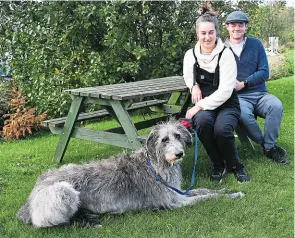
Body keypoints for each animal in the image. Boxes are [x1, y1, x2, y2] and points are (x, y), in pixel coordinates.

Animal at [16, 120, 245, 228]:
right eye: (164, 140)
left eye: (178, 136)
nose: (179, 154)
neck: (156, 164)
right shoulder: (175, 202)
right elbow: (208, 197)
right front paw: (231, 195)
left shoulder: (178, 192)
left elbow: (204, 190)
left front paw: (228, 189)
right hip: (63, 191)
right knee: (48, 222)